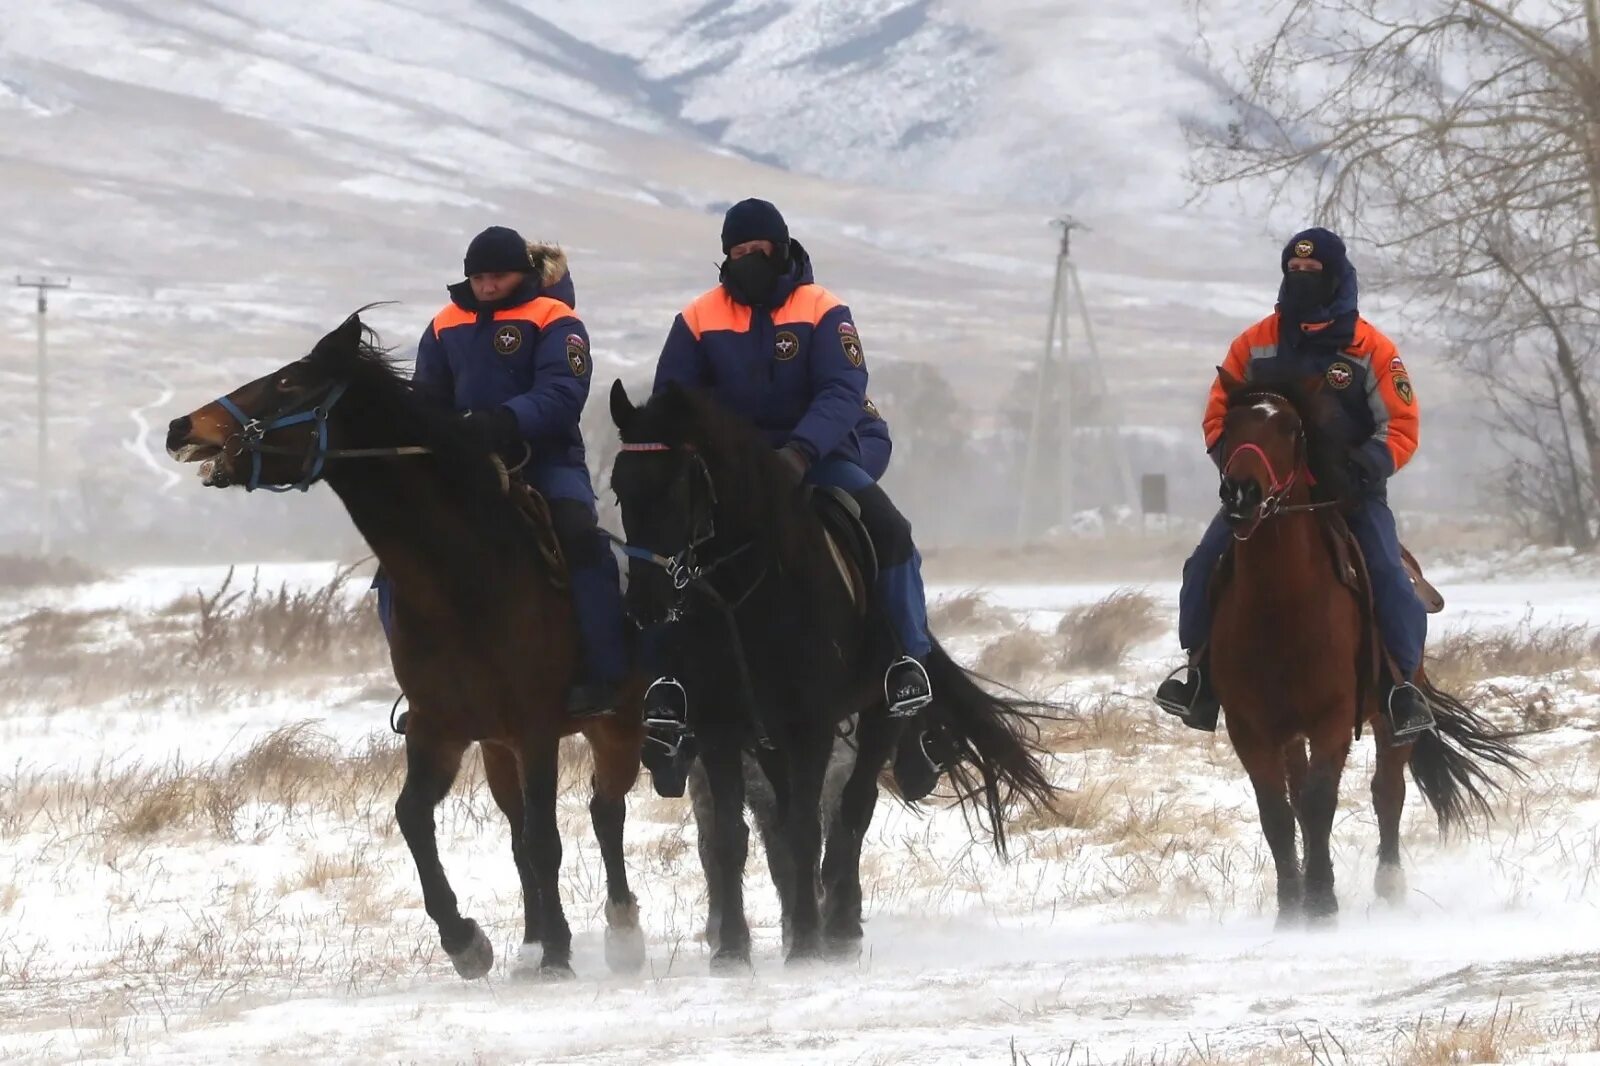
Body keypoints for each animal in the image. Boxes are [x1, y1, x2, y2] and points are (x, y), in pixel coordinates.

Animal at [168, 308, 649, 979]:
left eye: (289, 384)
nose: (181, 427)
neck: (463, 578)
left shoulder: (535, 726)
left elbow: (545, 838)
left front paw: (557, 949)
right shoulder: (439, 729)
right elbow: (416, 819)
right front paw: (465, 939)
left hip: (616, 725)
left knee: (605, 813)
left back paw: (621, 934)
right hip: (498, 748)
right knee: (524, 830)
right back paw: (532, 942)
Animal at [604, 379, 1056, 960]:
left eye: (681, 484)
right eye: (619, 489)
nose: (646, 602)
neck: (743, 596)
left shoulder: (812, 729)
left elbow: (805, 829)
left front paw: (805, 943)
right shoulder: (720, 729)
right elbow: (732, 837)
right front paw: (733, 950)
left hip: (877, 716)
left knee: (851, 811)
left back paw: (836, 925)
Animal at [1209, 368, 1523, 921]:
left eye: (1291, 428)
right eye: (1230, 423)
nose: (1241, 494)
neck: (1276, 605)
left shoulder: (1333, 719)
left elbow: (1319, 803)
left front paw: (1322, 901)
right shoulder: (1251, 728)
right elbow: (1278, 812)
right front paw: (1290, 908)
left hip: (1392, 718)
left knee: (1387, 792)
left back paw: (1390, 884)